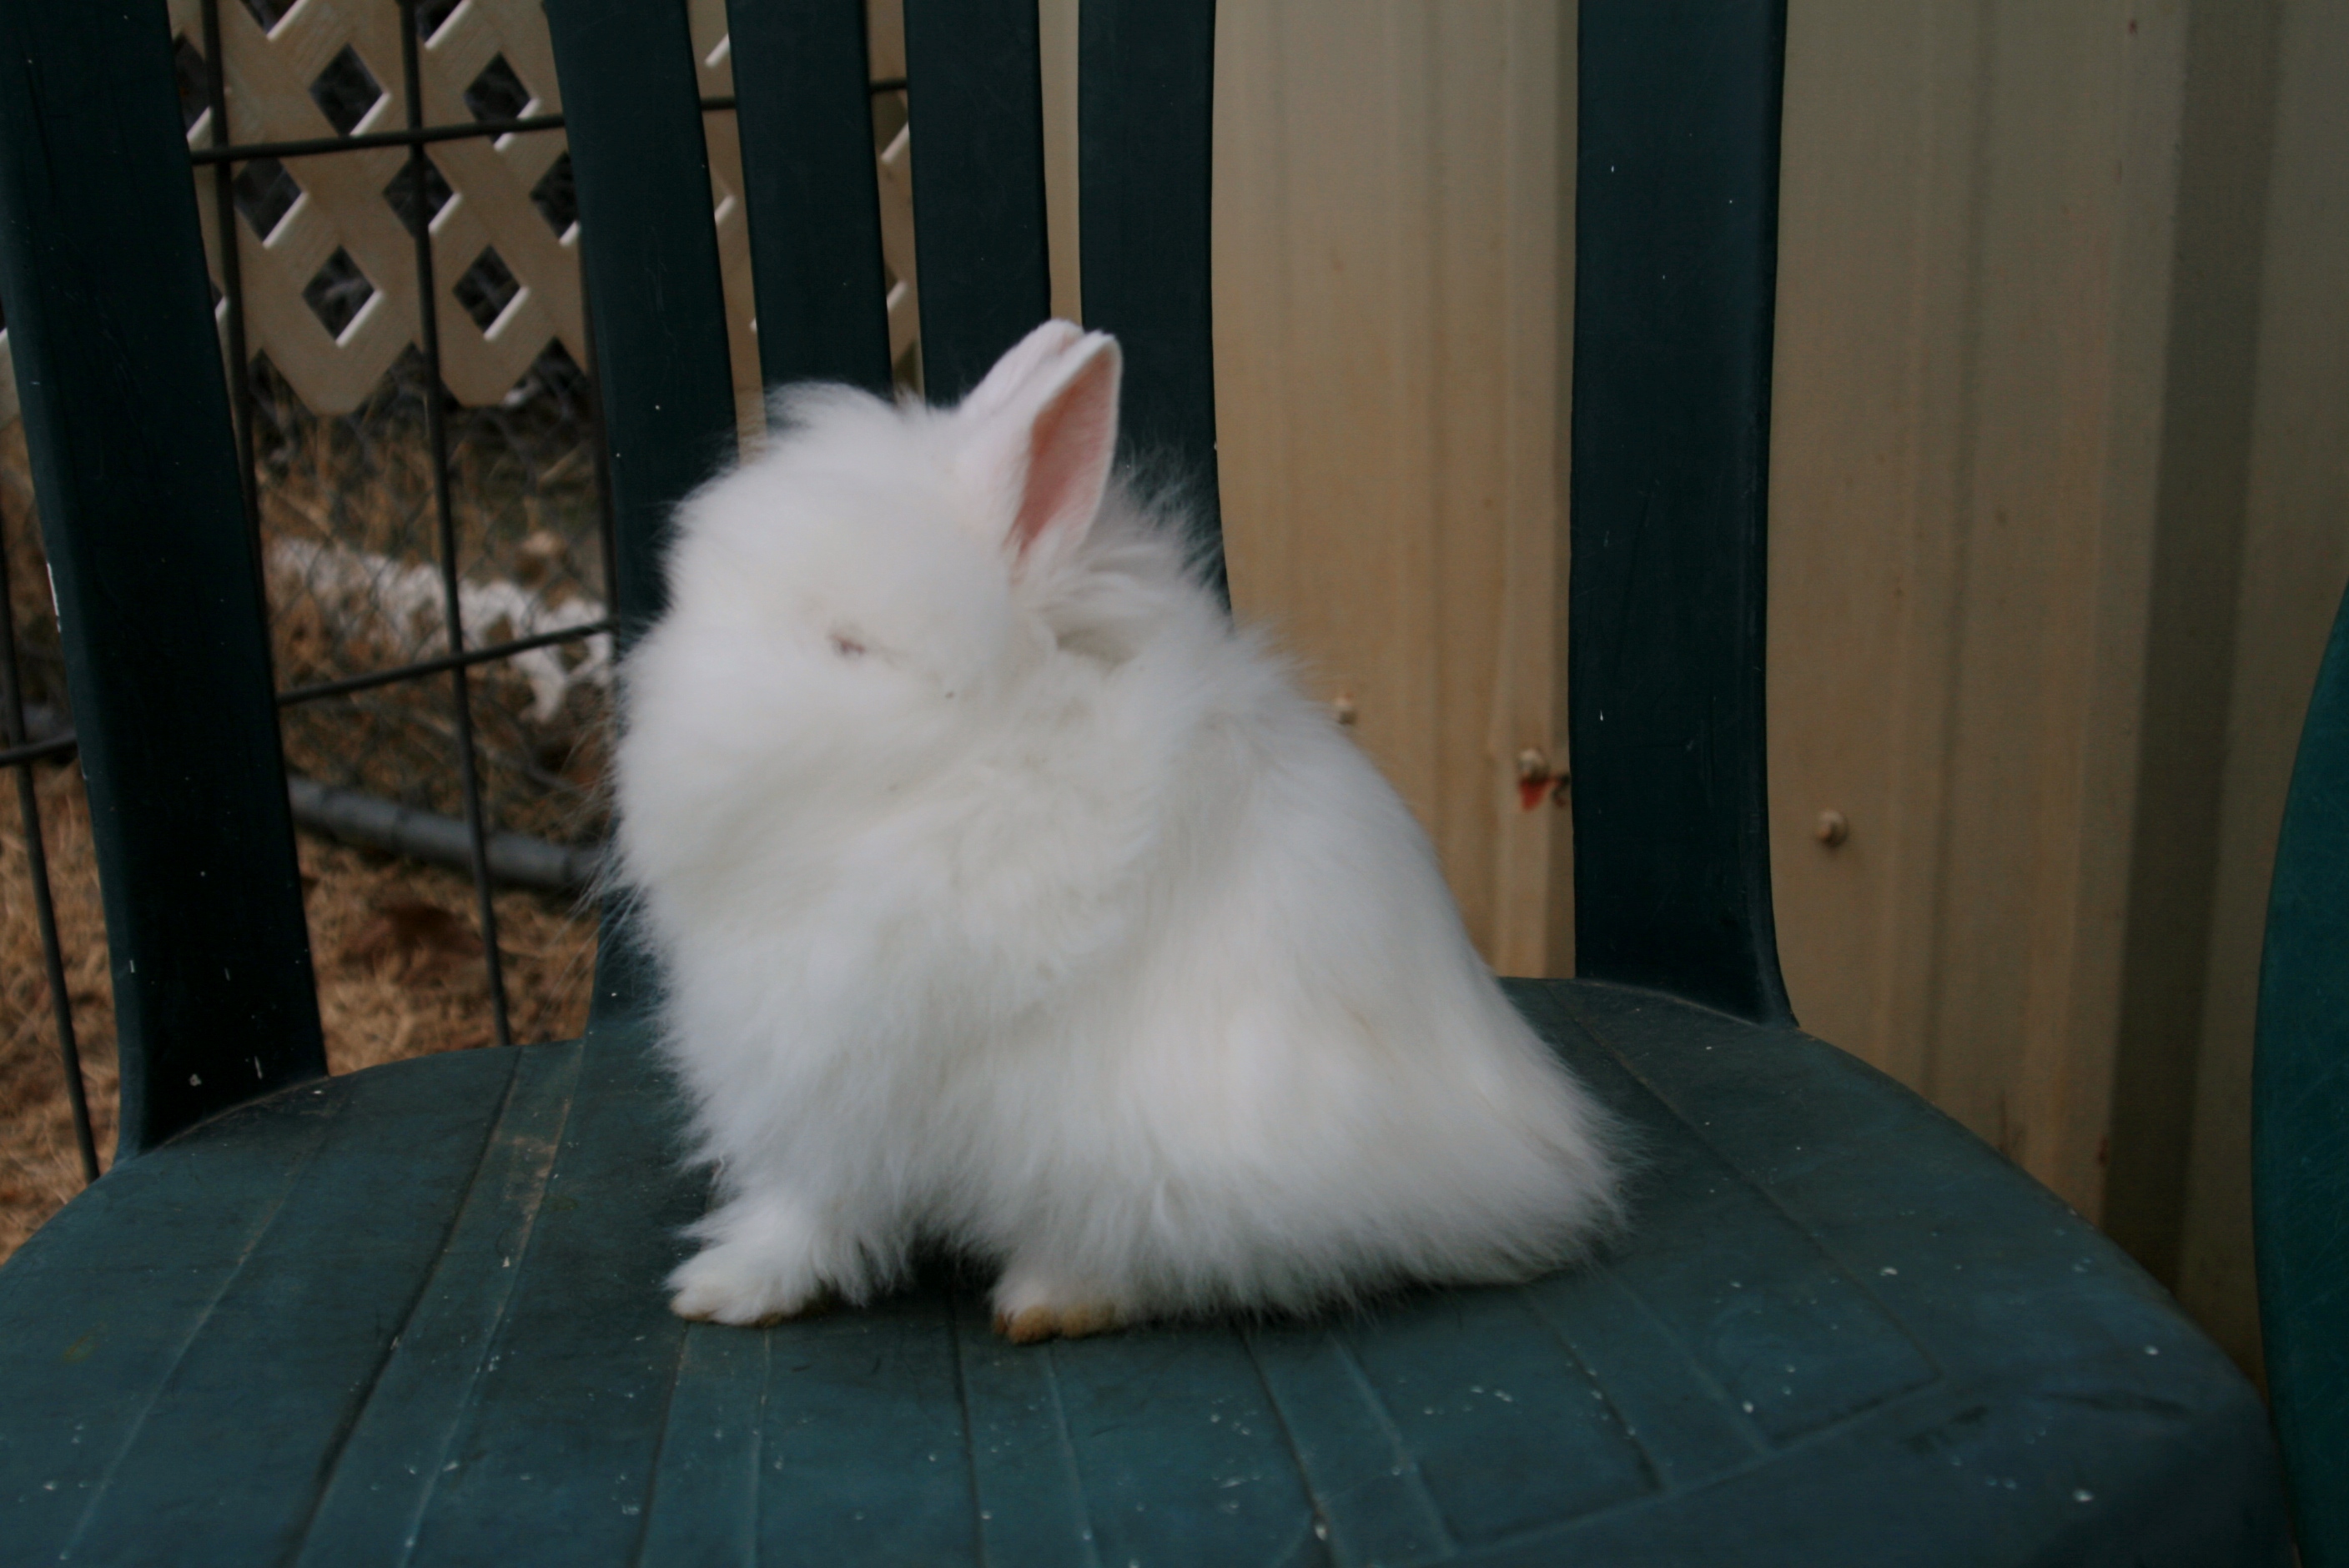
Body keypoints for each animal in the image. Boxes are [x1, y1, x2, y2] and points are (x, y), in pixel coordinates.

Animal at [612, 319, 1624, 1342]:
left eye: (851, 646)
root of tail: (1531, 1144)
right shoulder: (818, 1085)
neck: (969, 770)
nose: (668, 725)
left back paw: (1052, 1296)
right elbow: (810, 1205)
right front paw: (726, 1288)